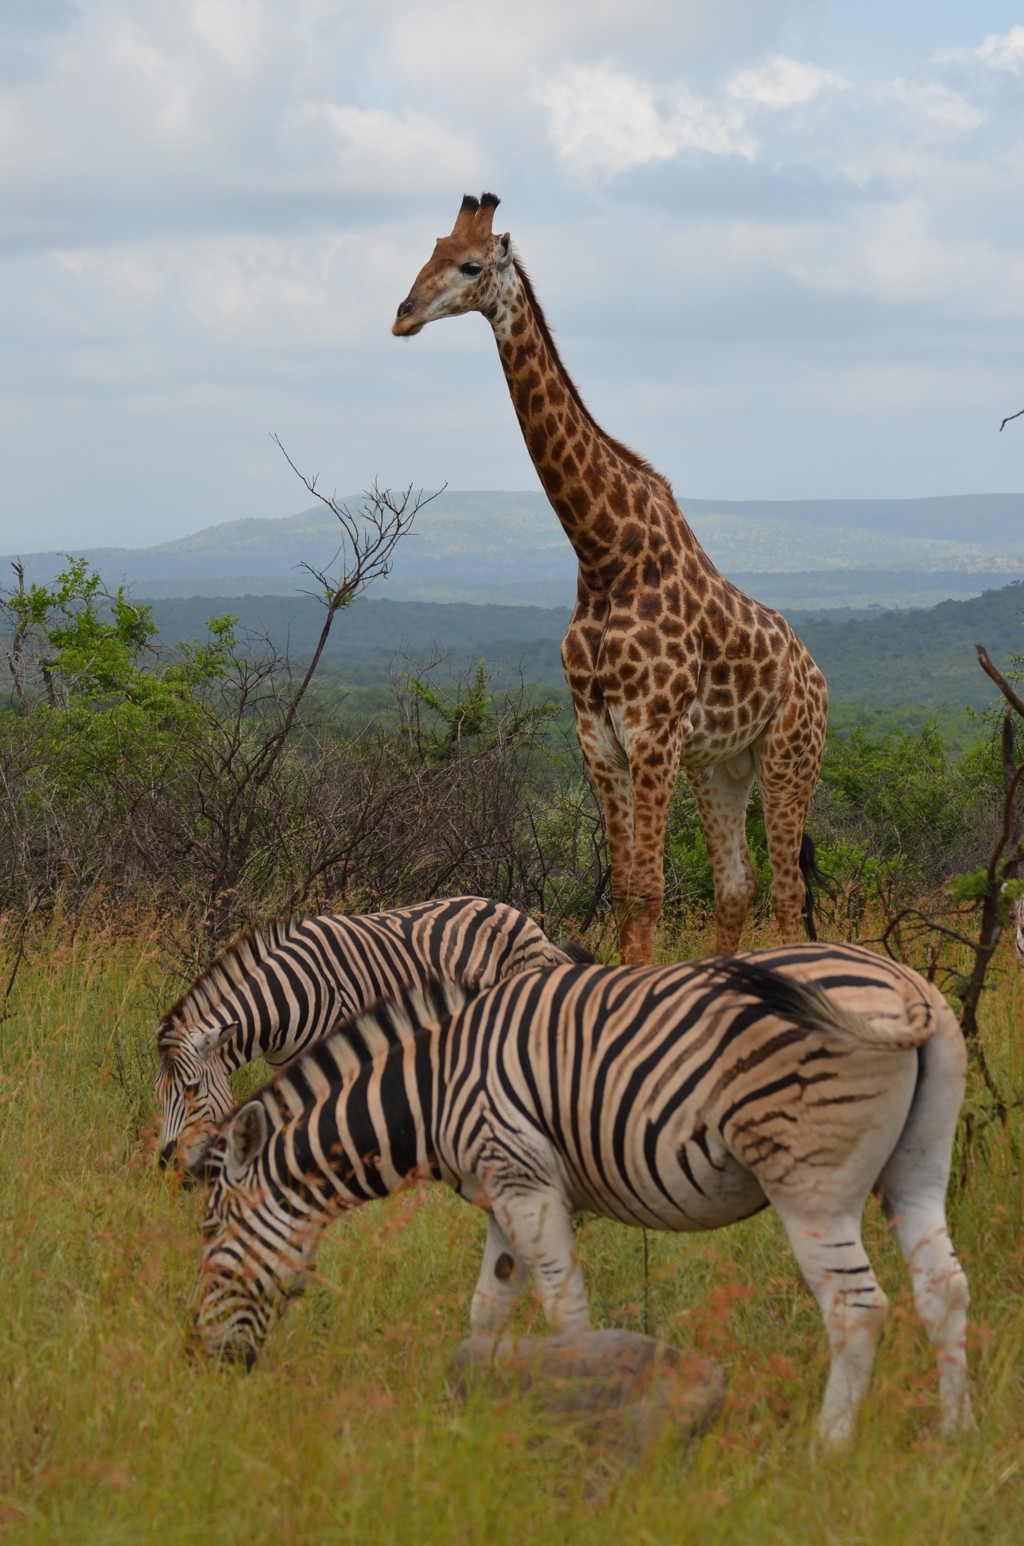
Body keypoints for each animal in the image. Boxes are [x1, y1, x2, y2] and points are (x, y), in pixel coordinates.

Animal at [189, 942, 972, 1450]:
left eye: (213, 1248)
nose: (208, 1369)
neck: (434, 1088)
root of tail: (906, 987)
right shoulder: (505, 1192)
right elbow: (489, 1306)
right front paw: (479, 1406)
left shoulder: (527, 1183)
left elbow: (565, 1310)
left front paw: (576, 1413)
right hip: (920, 1168)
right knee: (944, 1289)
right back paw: (954, 1437)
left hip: (811, 1184)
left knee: (856, 1308)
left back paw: (827, 1448)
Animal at [392, 194, 829, 966]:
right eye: (430, 250)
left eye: (470, 266)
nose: (403, 314)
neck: (602, 554)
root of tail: (818, 675)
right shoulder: (597, 735)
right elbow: (627, 892)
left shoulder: (651, 732)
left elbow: (650, 891)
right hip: (723, 765)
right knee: (737, 886)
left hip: (788, 755)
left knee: (786, 892)